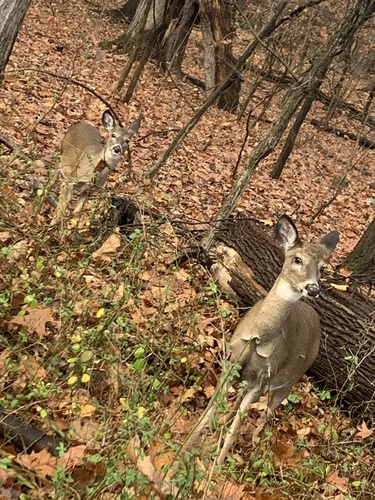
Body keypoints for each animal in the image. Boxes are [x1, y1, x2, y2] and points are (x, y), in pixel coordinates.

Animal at [184, 215, 340, 464]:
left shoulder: (262, 379)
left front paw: (215, 467)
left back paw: (251, 449)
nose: (313, 289)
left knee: (265, 416)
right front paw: (182, 451)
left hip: (289, 380)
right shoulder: (231, 364)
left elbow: (234, 432)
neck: (259, 335)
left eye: (322, 268)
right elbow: (209, 411)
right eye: (297, 259)